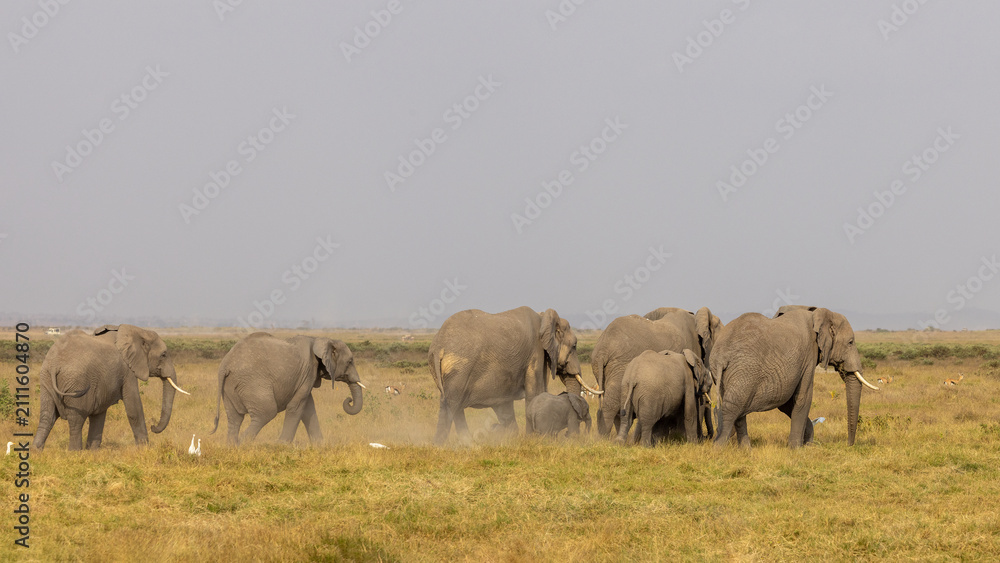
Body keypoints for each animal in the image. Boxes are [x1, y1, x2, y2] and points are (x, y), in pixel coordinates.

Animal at [34, 325, 188, 451]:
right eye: (163, 355)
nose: (153, 426)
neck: (138, 331)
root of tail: (55, 363)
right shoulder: (127, 371)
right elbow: (134, 408)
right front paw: (145, 449)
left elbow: (99, 412)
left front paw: (92, 451)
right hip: (76, 381)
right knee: (76, 419)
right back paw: (74, 452)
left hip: (46, 379)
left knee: (47, 416)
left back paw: (36, 451)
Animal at [211, 333, 366, 445]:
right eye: (350, 361)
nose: (349, 399)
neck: (319, 339)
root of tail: (225, 365)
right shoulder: (308, 371)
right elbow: (296, 406)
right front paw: (282, 445)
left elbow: (308, 407)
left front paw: (320, 445)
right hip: (252, 383)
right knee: (266, 412)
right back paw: (243, 444)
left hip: (230, 386)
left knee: (235, 417)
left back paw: (232, 446)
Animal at [429, 306, 600, 444]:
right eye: (574, 346)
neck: (543, 317)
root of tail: (438, 345)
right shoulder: (535, 353)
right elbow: (535, 392)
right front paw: (531, 439)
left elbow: (505, 406)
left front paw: (514, 438)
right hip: (460, 369)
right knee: (453, 405)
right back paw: (458, 444)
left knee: (448, 405)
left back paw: (449, 445)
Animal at [591, 307, 722, 437]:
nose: (707, 437)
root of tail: (602, 349)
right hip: (620, 364)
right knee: (612, 403)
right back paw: (604, 438)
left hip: (602, 368)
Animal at [712, 307, 880, 449]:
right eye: (850, 342)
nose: (849, 445)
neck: (818, 314)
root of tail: (721, 355)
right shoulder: (809, 355)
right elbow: (803, 398)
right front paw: (796, 449)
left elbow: (787, 403)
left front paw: (808, 444)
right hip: (746, 370)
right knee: (733, 407)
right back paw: (718, 449)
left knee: (737, 407)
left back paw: (747, 450)